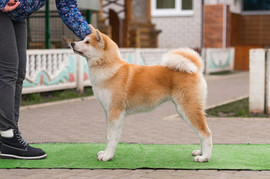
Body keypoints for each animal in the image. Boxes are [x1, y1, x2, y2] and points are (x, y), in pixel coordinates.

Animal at [70, 24, 212, 162]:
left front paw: (107, 156)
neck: (108, 67)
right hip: (184, 111)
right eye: (83, 39)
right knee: (200, 132)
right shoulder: (108, 113)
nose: (72, 43)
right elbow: (108, 135)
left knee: (206, 133)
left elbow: (111, 137)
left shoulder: (115, 112)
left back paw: (204, 157)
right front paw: (105, 153)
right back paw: (200, 152)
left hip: (188, 109)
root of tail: (195, 69)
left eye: (87, 42)